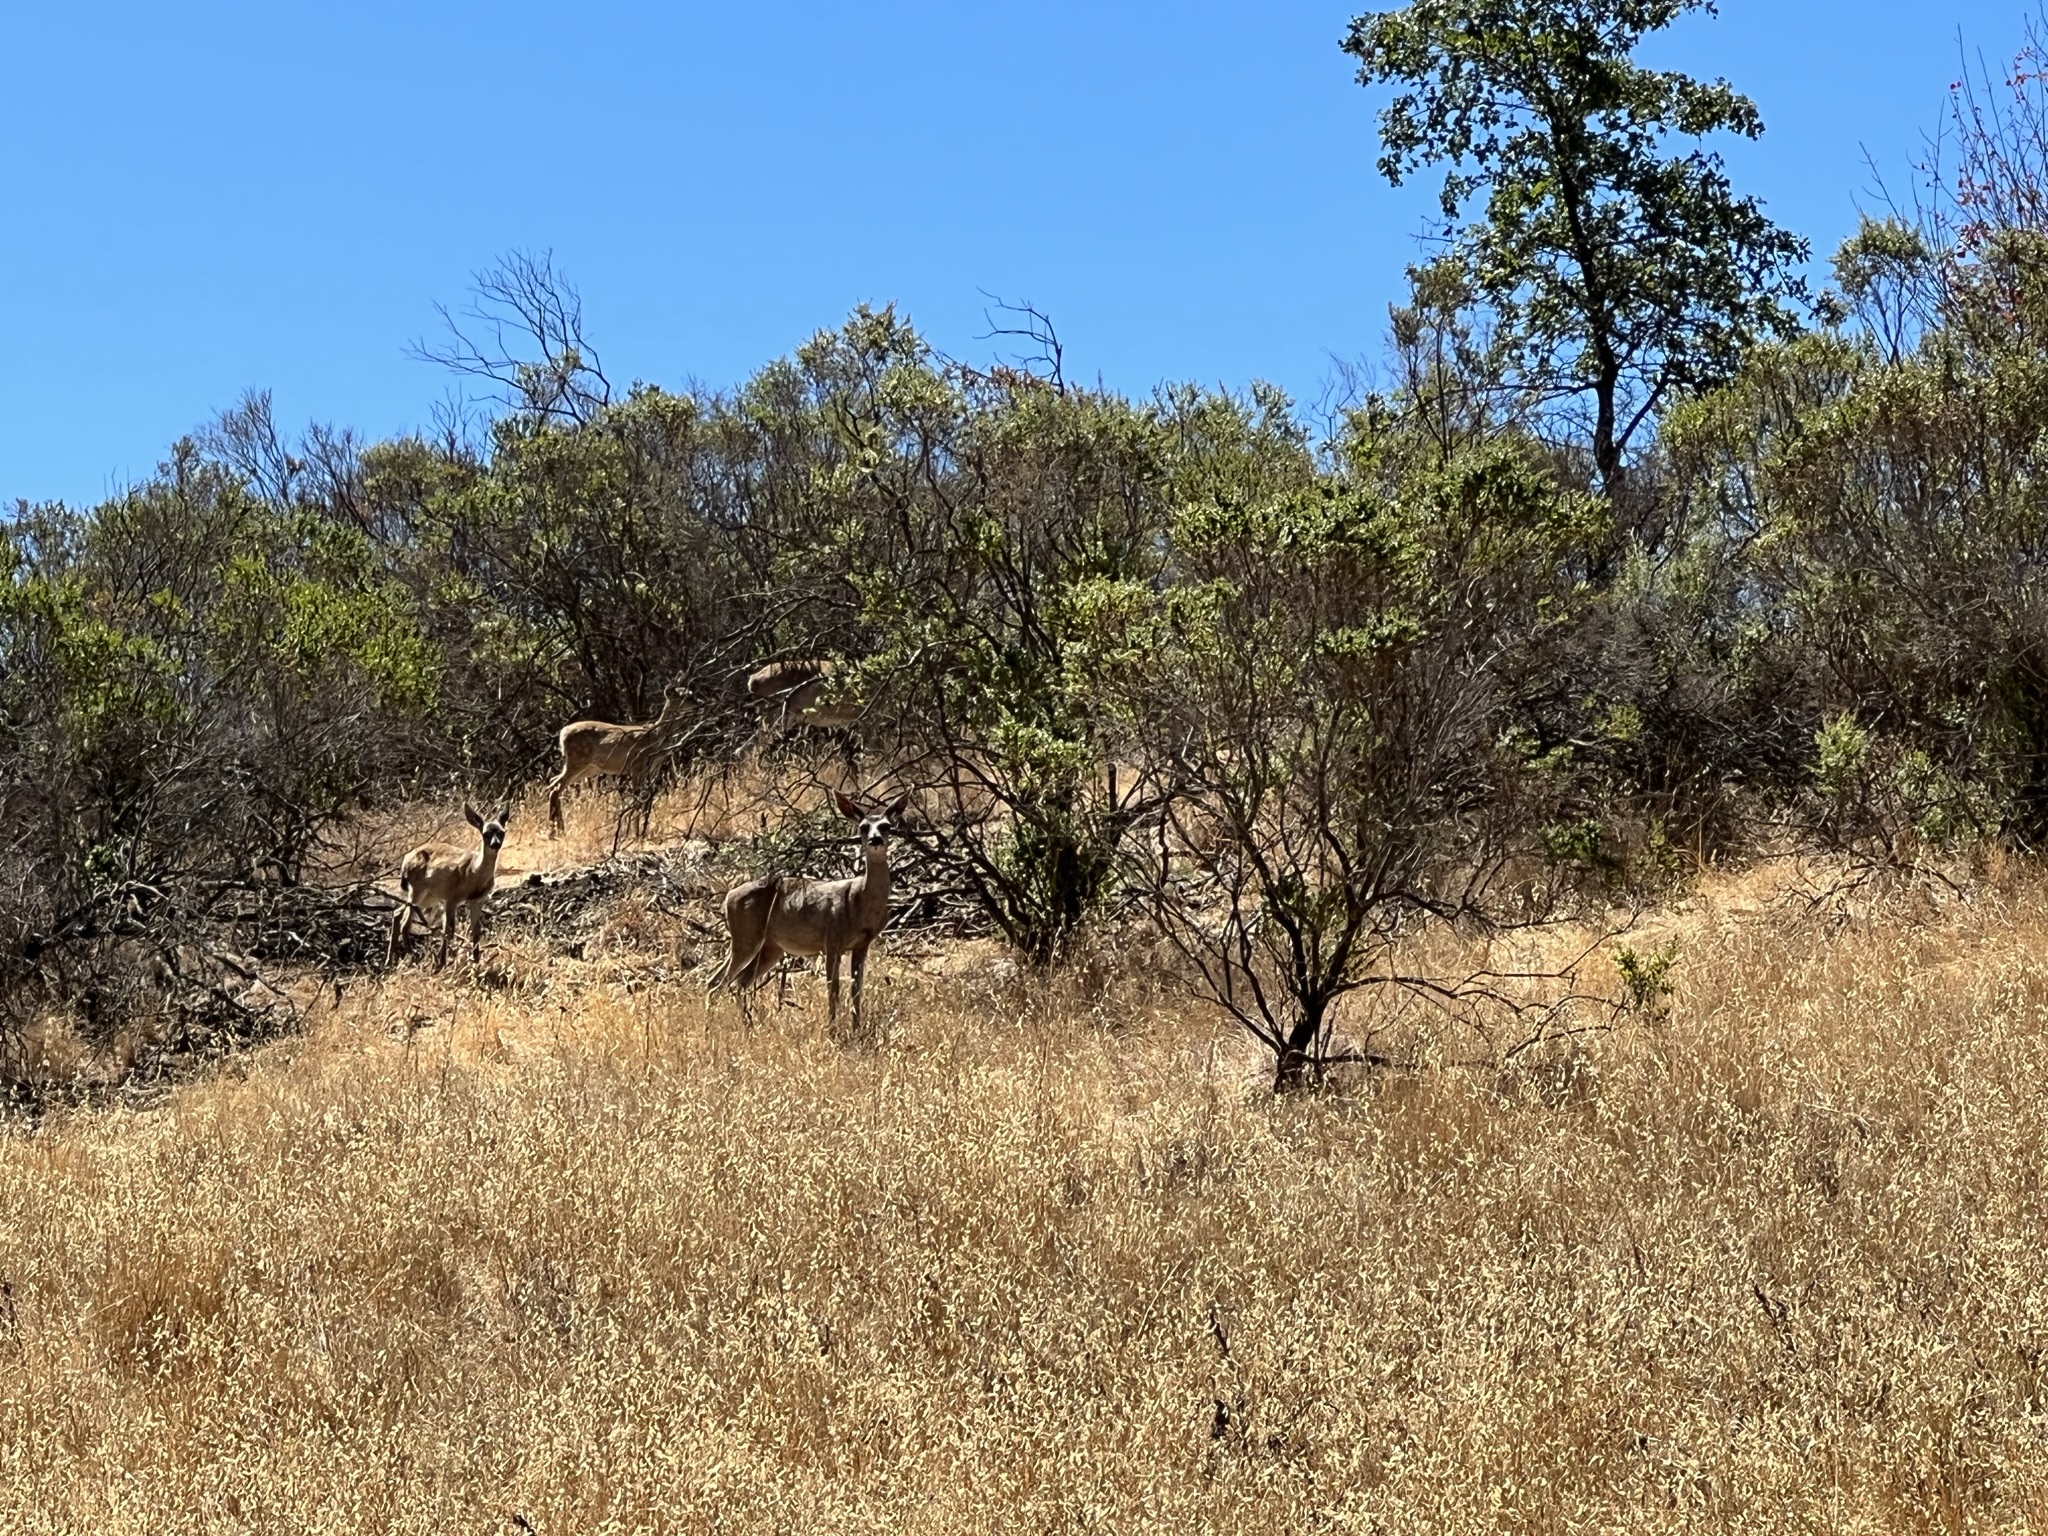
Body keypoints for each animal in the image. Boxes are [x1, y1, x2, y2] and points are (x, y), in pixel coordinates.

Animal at [387, 803, 511, 971]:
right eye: (485, 834)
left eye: (502, 832)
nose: (495, 844)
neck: (474, 872)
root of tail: (405, 862)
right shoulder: (452, 897)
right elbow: (448, 930)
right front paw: (441, 963)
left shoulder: (478, 900)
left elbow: (476, 930)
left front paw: (476, 962)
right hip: (417, 889)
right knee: (405, 922)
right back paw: (412, 956)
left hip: (428, 897)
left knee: (398, 913)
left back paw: (390, 961)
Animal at [545, 681, 688, 836]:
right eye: (684, 696)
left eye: (690, 693)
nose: (697, 702)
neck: (656, 737)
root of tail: (562, 734)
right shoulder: (637, 766)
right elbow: (638, 797)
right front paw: (636, 832)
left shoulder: (652, 769)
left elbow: (645, 796)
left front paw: (642, 829)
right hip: (577, 760)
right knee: (556, 787)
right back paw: (555, 831)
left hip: (588, 768)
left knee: (553, 783)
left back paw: (558, 829)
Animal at [710, 791, 911, 1035]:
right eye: (863, 827)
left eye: (886, 826)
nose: (875, 840)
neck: (861, 902)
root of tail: (728, 897)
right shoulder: (832, 940)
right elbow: (833, 989)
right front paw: (832, 1032)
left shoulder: (862, 944)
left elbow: (856, 990)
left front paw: (856, 1030)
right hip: (746, 937)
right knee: (720, 982)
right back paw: (716, 1029)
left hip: (770, 947)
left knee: (736, 982)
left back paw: (747, 1028)